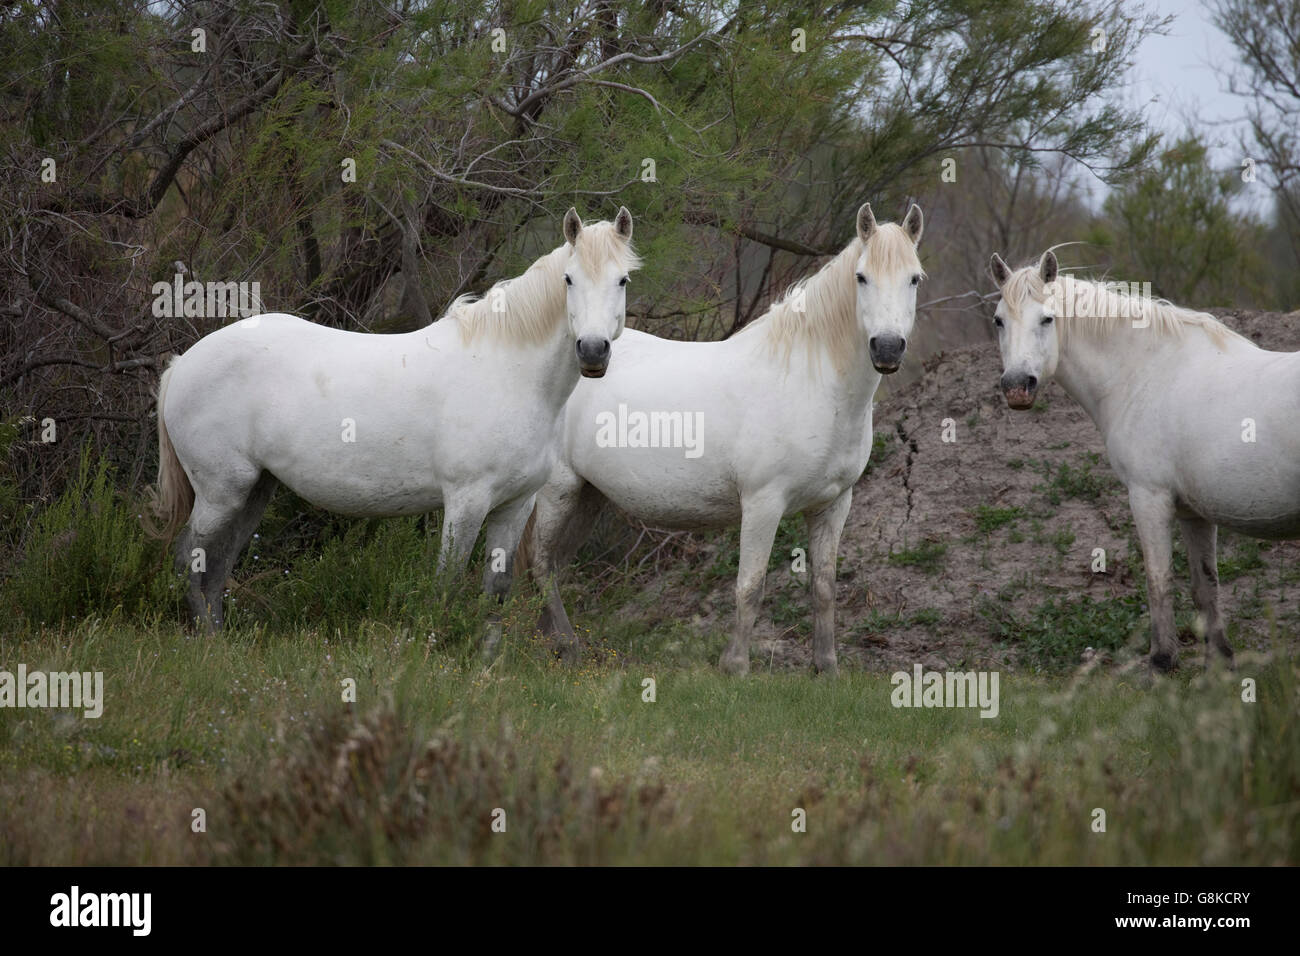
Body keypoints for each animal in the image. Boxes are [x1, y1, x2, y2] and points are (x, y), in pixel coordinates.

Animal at [147, 205, 639, 632]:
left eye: (623, 280)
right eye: (569, 279)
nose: (592, 351)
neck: (509, 372)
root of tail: (182, 364)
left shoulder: (515, 505)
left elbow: (495, 591)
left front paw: (485, 664)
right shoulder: (466, 502)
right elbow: (445, 585)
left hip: (253, 490)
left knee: (216, 568)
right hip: (220, 491)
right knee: (189, 559)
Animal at [517, 205, 925, 676]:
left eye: (914, 278)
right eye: (861, 277)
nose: (888, 349)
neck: (810, 380)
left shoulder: (834, 504)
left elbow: (823, 587)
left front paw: (826, 668)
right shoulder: (764, 503)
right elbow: (750, 586)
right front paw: (735, 666)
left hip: (589, 495)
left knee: (552, 564)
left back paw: (547, 643)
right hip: (559, 488)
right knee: (541, 562)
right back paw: (566, 646)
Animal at [982, 254, 1300, 671]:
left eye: (1047, 319)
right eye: (999, 320)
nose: (1018, 387)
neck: (1144, 372)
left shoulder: (1149, 498)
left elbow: (1158, 580)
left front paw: (1162, 661)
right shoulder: (1194, 514)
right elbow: (1206, 586)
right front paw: (1218, 664)